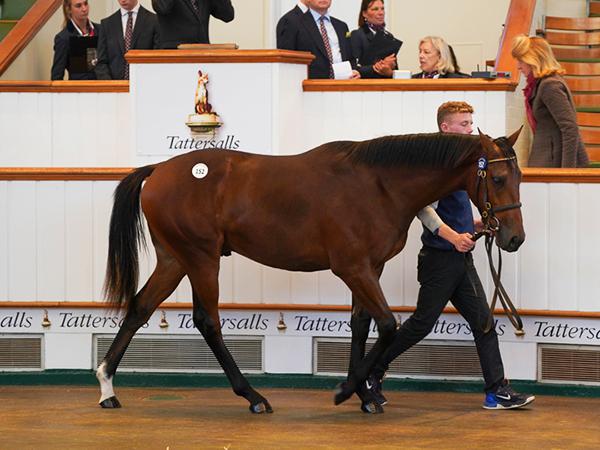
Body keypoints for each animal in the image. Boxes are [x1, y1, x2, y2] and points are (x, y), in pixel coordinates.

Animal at [96, 128, 524, 414]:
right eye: (498, 178)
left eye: (519, 178)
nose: (514, 238)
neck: (378, 185)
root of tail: (158, 170)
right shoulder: (352, 268)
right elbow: (387, 324)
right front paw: (346, 389)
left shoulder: (369, 268)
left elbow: (361, 325)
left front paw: (364, 394)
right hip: (201, 258)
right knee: (207, 320)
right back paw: (253, 396)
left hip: (174, 259)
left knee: (139, 308)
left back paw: (107, 387)